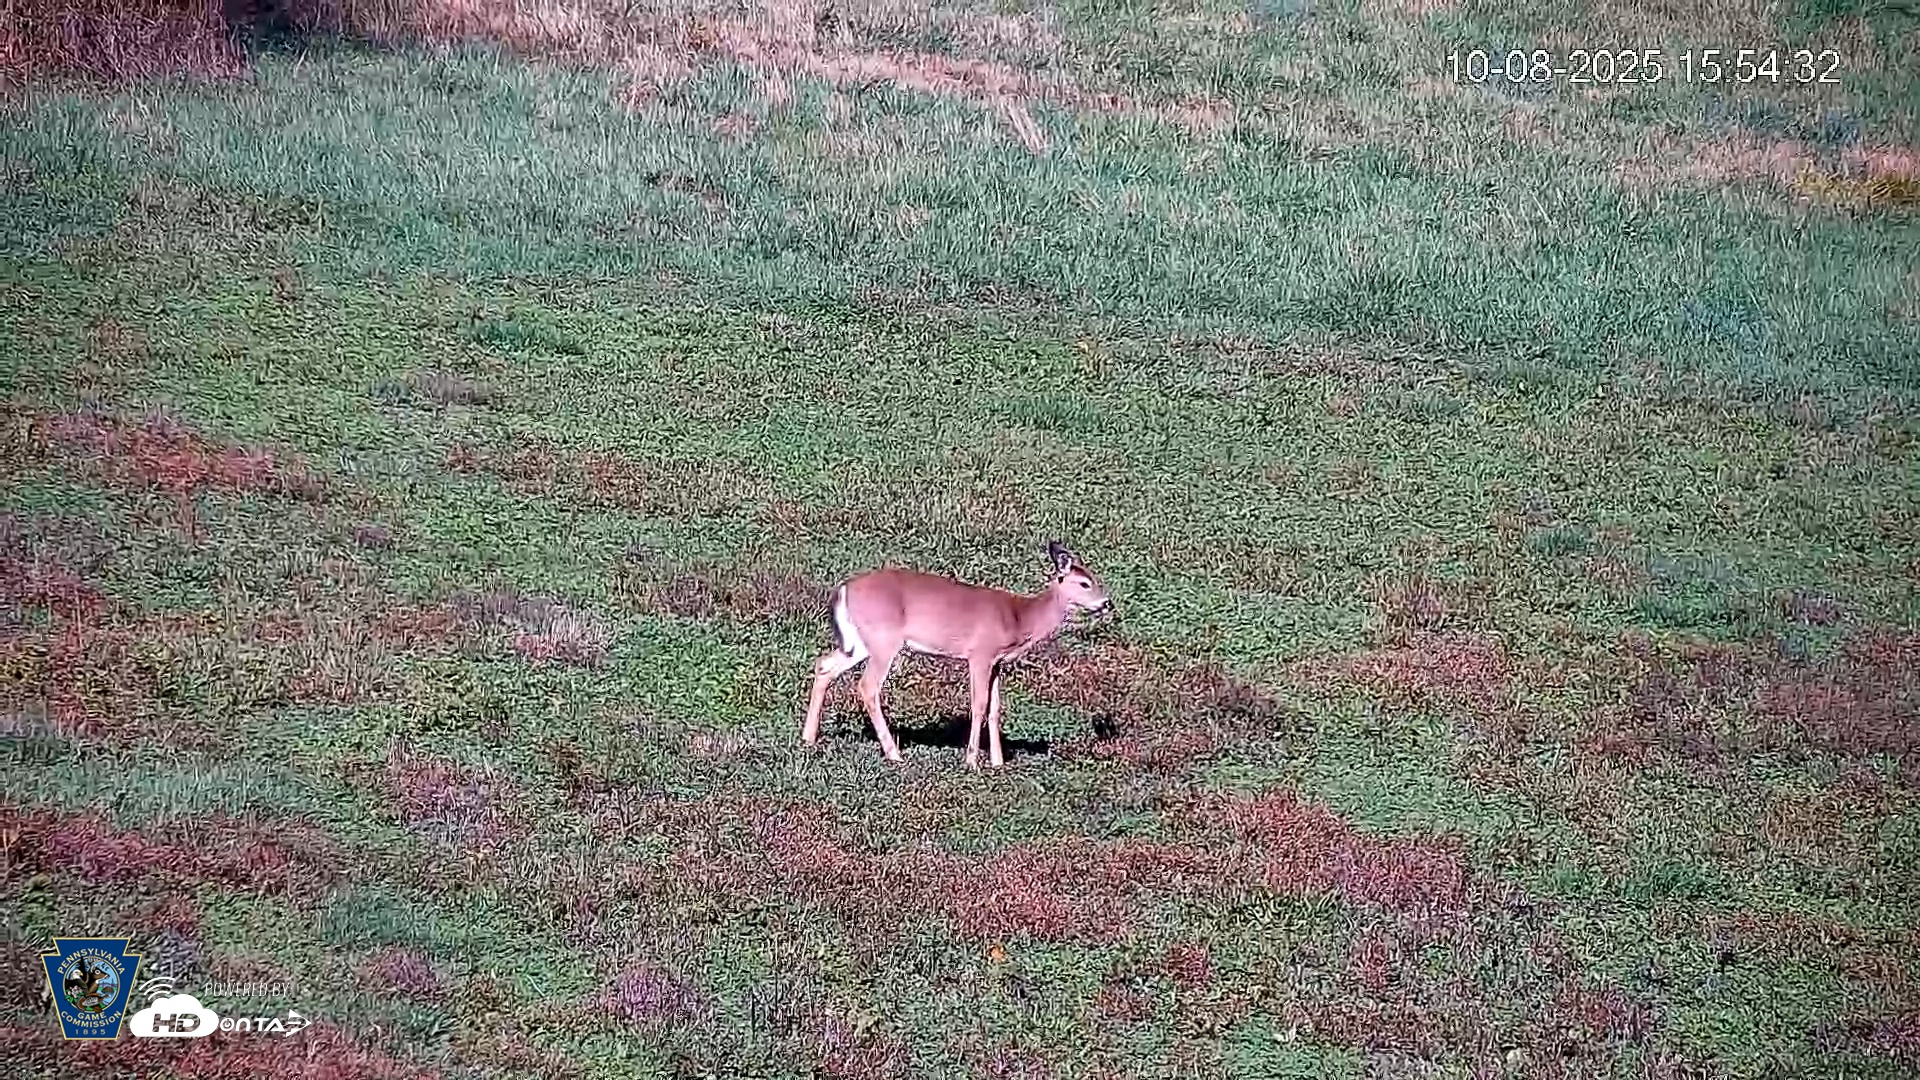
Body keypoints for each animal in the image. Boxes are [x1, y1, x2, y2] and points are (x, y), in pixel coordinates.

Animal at [802, 540, 1115, 770]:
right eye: (1084, 583)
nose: (1107, 603)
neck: (1019, 618)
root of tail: (844, 589)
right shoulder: (980, 654)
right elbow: (978, 705)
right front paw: (972, 761)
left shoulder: (997, 663)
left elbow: (995, 708)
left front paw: (998, 763)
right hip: (884, 640)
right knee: (867, 686)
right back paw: (894, 754)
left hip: (859, 643)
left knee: (824, 665)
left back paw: (808, 738)